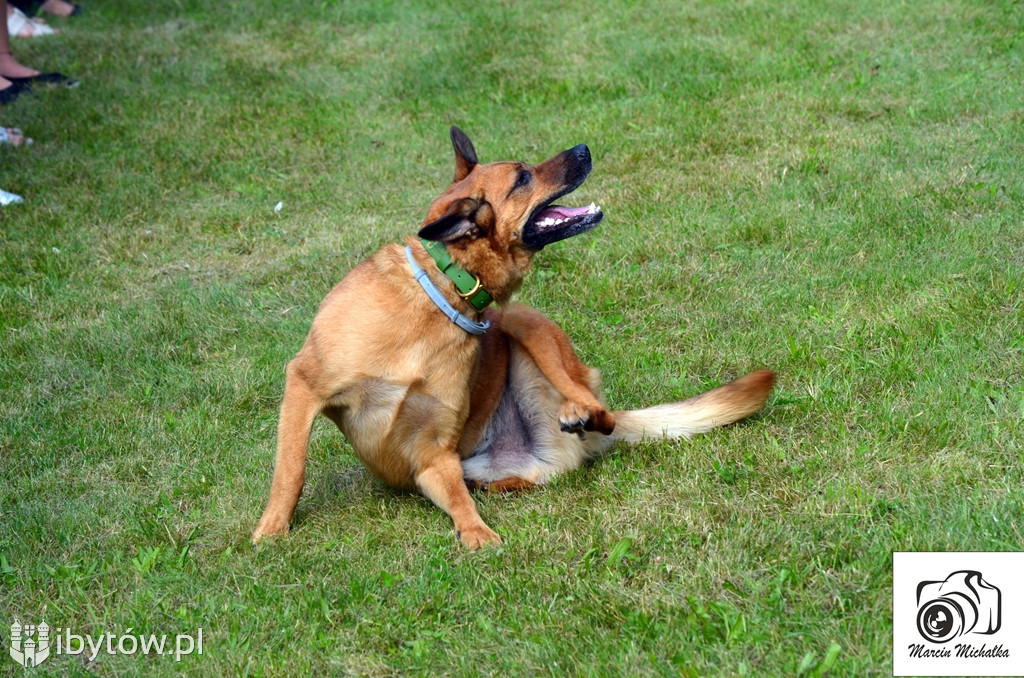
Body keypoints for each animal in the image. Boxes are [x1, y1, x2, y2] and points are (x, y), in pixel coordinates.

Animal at [251, 127, 770, 548]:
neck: (442, 293)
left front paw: (476, 533)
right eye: (523, 178)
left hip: (525, 324)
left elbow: (458, 504)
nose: (584, 148)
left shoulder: (433, 451)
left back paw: (576, 412)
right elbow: (290, 470)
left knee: (598, 413)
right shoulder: (307, 387)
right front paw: (271, 530)